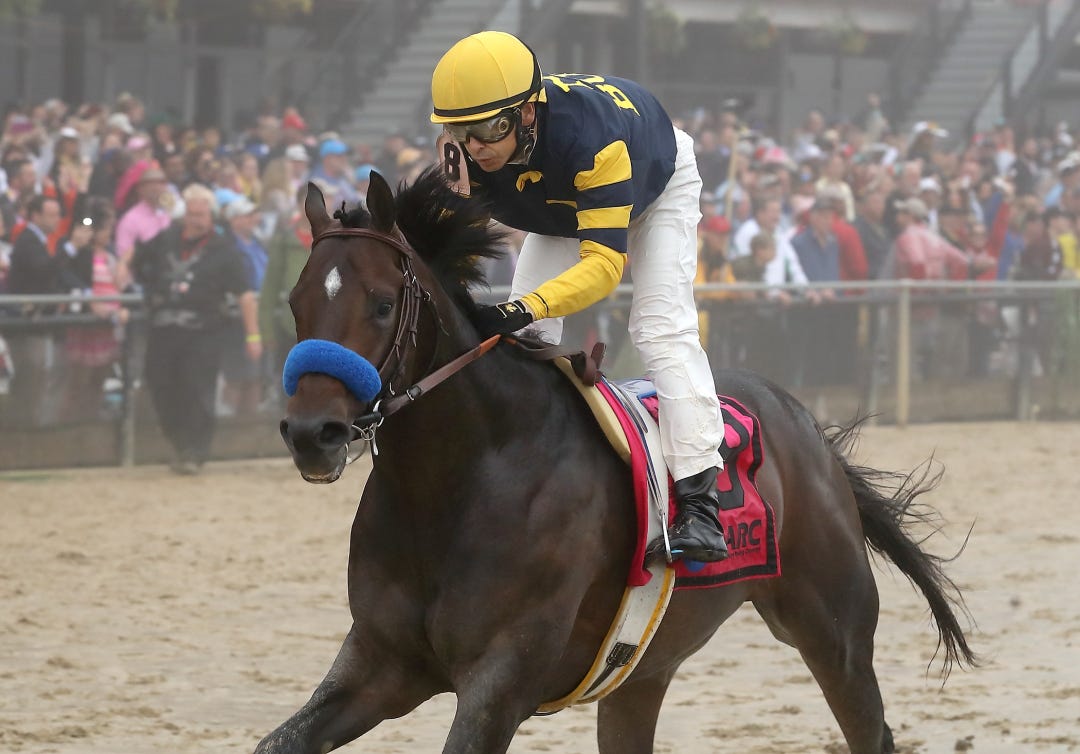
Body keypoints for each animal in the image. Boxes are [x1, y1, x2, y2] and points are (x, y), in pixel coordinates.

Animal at [261, 167, 975, 754]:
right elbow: (278, 741)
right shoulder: (382, 663)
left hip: (835, 630)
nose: (312, 432)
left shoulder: (501, 679)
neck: (456, 484)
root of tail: (806, 427)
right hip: (643, 669)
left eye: (383, 303)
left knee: (869, 727)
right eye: (296, 303)